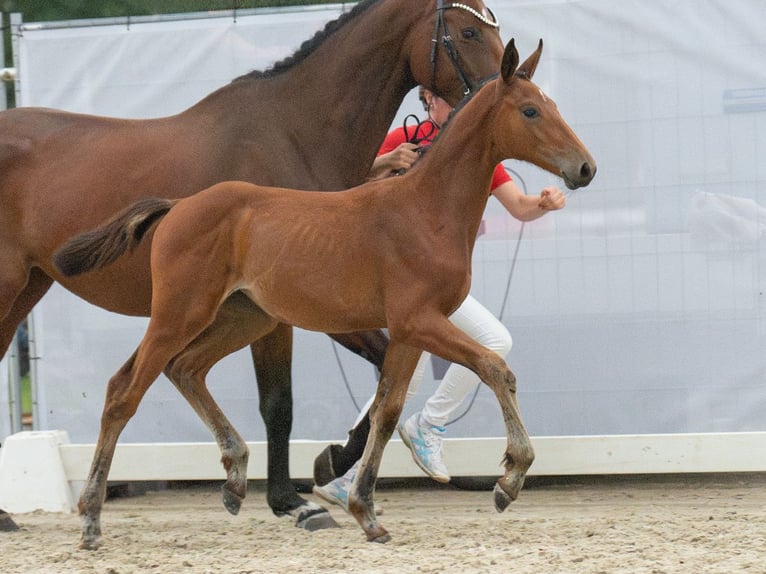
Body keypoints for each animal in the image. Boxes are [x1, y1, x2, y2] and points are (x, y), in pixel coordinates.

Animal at [0, 0, 508, 532]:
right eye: (469, 32)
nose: (503, 88)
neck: (293, 135)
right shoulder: (293, 309)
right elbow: (279, 403)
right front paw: (294, 499)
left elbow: (380, 378)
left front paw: (327, 465)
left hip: (30, 286)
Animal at [54, 38, 596, 548]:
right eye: (530, 110)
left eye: (552, 105)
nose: (586, 168)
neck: (425, 210)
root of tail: (178, 205)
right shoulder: (418, 321)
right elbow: (495, 368)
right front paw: (510, 479)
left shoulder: (407, 332)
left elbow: (387, 411)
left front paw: (366, 513)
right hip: (179, 314)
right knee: (124, 391)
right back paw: (92, 520)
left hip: (244, 318)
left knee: (185, 369)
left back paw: (234, 479)